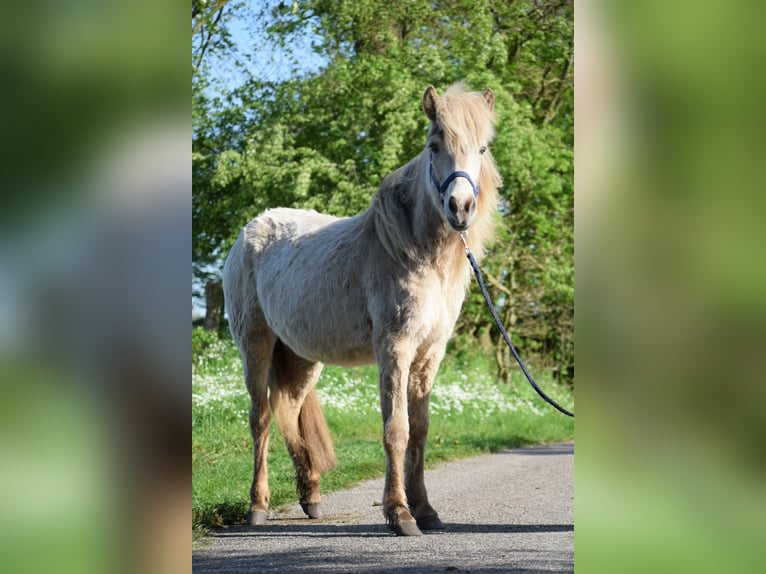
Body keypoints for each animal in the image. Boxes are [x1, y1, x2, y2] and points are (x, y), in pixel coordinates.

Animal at [222, 83, 502, 536]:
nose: (460, 207)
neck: (412, 251)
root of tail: (252, 227)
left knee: (288, 413)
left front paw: (426, 510)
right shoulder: (394, 349)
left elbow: (420, 431)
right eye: (434, 145)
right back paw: (258, 506)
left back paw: (311, 496)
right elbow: (396, 430)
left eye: (482, 148)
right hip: (255, 346)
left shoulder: (429, 355)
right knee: (260, 419)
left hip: (301, 359)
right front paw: (400, 514)